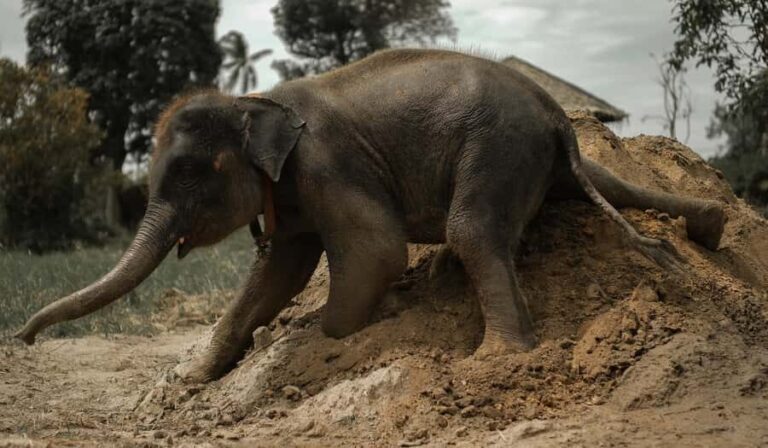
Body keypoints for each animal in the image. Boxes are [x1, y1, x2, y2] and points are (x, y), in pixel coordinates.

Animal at [15, 49, 726, 383]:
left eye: (189, 173)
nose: (21, 338)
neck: (256, 102)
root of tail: (556, 114)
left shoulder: (327, 167)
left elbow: (376, 252)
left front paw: (333, 337)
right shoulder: (295, 191)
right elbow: (277, 273)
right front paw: (198, 375)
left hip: (496, 146)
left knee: (471, 231)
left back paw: (495, 357)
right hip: (537, 157)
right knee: (603, 183)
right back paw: (712, 226)